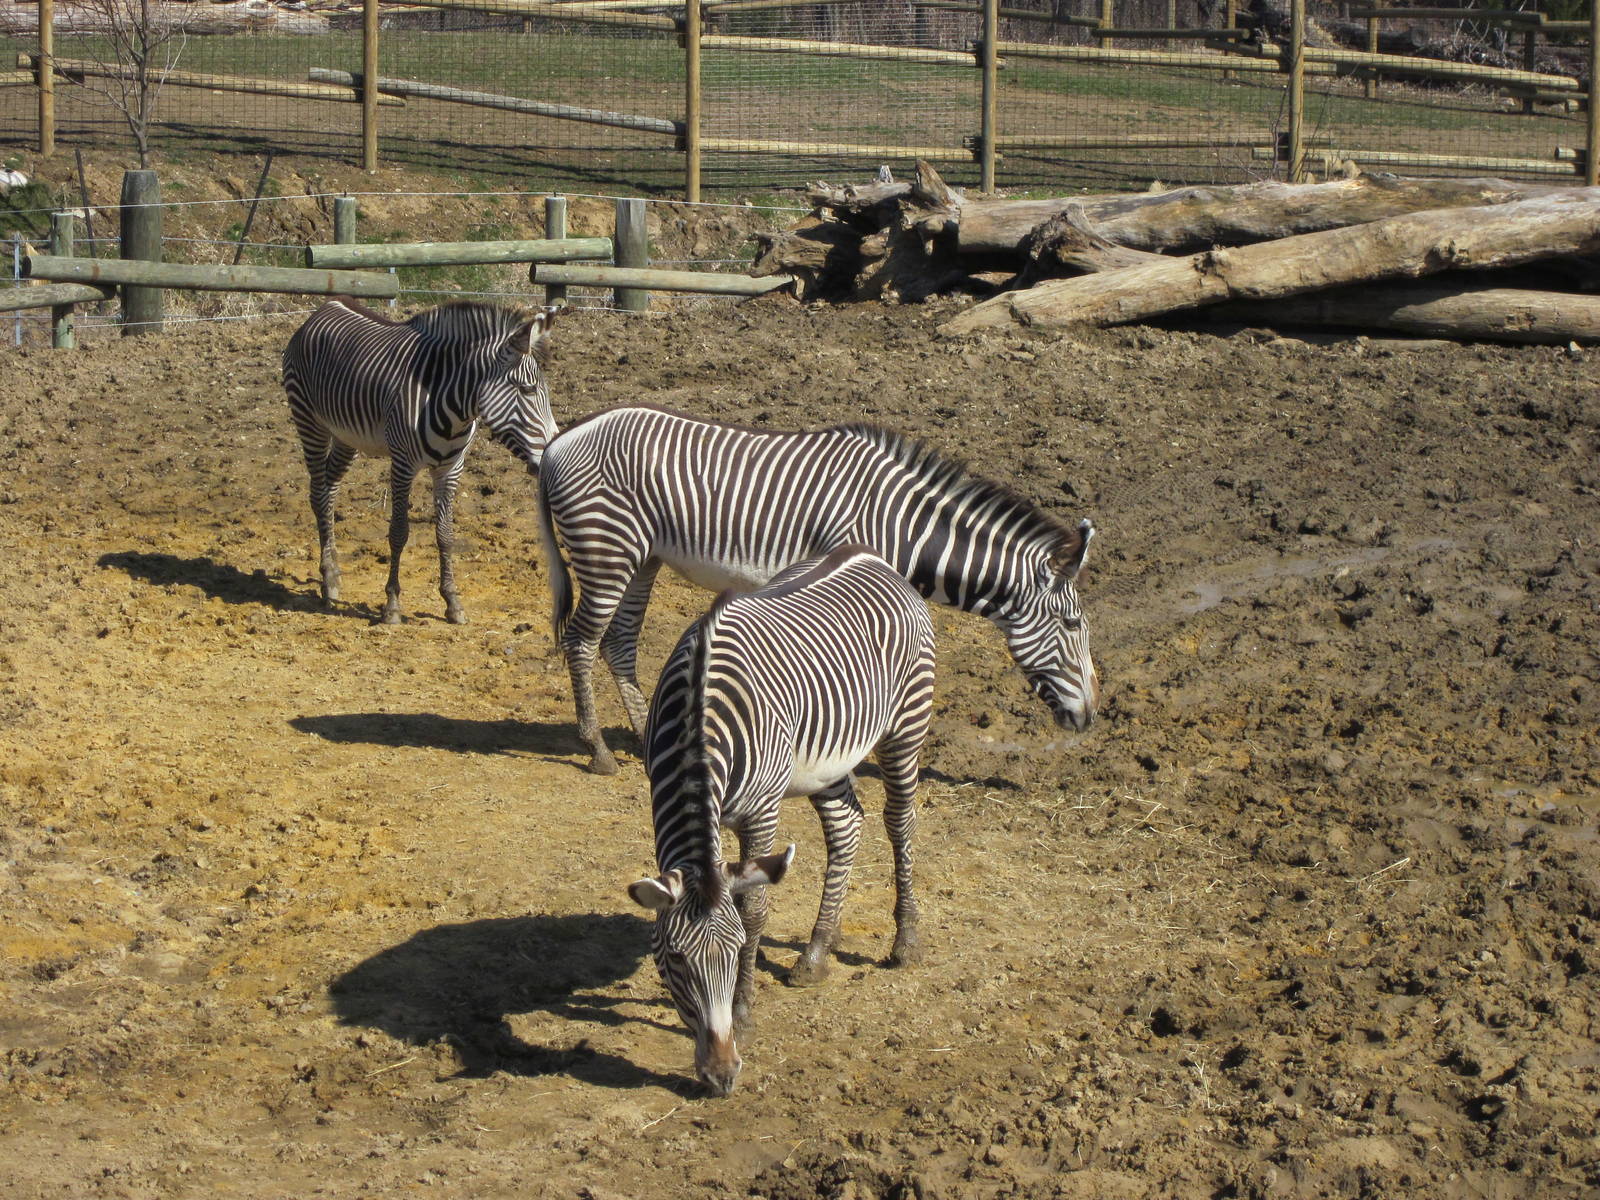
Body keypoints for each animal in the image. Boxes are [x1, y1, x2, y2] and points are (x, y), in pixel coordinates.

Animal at [282, 297, 560, 625]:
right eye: (528, 390)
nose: (551, 456)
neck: (452, 406)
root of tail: (327, 305)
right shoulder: (403, 465)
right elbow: (399, 532)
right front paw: (392, 605)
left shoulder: (451, 469)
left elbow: (446, 535)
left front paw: (452, 602)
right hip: (309, 419)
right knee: (318, 494)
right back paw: (328, 579)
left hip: (346, 436)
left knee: (329, 491)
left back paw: (335, 573)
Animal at [534, 405, 1098, 774]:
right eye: (1073, 624)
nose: (1091, 717)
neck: (902, 526)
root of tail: (559, 440)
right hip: (606, 549)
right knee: (582, 642)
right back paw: (598, 751)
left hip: (643, 556)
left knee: (618, 643)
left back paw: (641, 736)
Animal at [627, 545, 937, 1097]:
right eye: (677, 958)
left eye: (734, 955)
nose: (722, 1076)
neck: (696, 718)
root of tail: (872, 556)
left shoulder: (761, 813)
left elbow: (753, 911)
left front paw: (744, 1010)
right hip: (826, 762)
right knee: (846, 827)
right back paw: (816, 951)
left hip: (906, 727)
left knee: (900, 822)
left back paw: (905, 942)